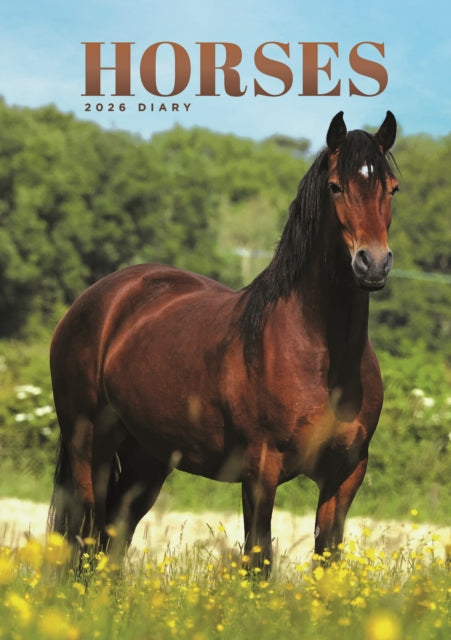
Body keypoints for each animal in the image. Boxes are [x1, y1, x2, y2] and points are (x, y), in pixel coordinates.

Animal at [48, 111, 398, 568]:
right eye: (336, 186)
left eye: (392, 188)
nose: (373, 263)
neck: (325, 357)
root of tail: (94, 299)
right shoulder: (262, 468)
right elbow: (258, 557)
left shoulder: (345, 474)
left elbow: (328, 561)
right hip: (88, 445)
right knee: (88, 537)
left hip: (147, 458)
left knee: (114, 537)